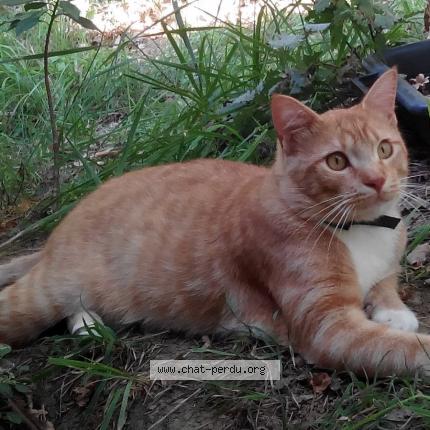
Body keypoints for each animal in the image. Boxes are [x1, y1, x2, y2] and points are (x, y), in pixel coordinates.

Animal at [0, 69, 426, 376]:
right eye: (336, 161)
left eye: (384, 149)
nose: (376, 180)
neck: (363, 230)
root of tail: (62, 225)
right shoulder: (328, 327)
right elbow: (401, 349)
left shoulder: (386, 262)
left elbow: (386, 284)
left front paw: (394, 311)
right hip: (44, 294)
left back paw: (88, 324)